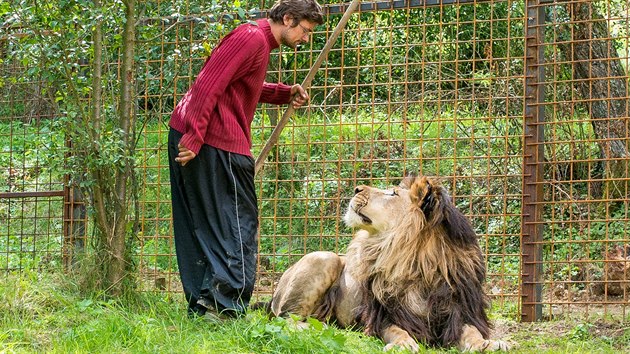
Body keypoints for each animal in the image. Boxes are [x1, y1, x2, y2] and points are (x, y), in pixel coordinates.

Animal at [264, 175, 512, 352]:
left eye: (393, 193)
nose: (357, 189)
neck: (418, 264)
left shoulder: (460, 312)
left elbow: (472, 332)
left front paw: (489, 344)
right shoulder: (384, 315)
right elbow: (396, 330)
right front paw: (403, 345)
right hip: (324, 258)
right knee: (285, 318)